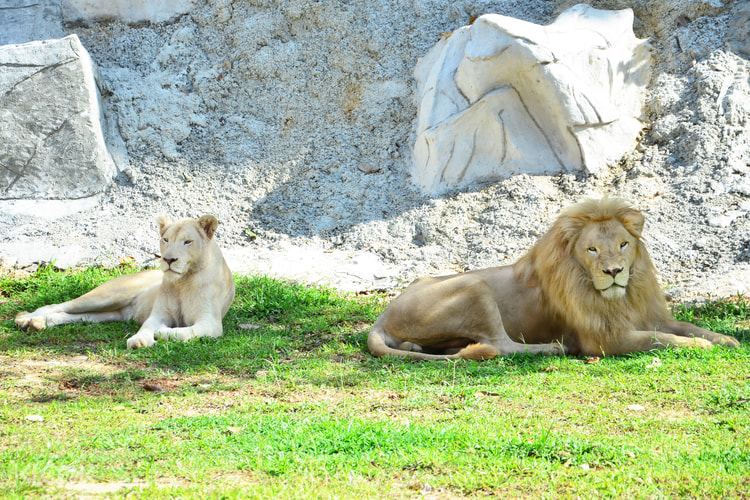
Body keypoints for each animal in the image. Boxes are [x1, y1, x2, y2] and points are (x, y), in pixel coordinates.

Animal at [16, 213, 236, 350]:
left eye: (187, 241)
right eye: (165, 239)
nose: (168, 260)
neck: (183, 281)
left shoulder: (211, 322)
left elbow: (186, 332)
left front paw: (163, 333)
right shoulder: (158, 314)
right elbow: (147, 327)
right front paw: (139, 340)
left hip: (108, 314)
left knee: (72, 316)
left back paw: (36, 323)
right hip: (106, 297)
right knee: (56, 305)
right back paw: (25, 319)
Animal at [370, 198, 740, 360]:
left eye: (623, 244)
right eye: (592, 249)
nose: (614, 271)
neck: (624, 296)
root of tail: (382, 317)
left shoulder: (649, 314)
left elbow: (686, 327)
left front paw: (726, 339)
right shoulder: (605, 340)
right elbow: (661, 339)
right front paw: (701, 346)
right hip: (475, 285)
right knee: (500, 345)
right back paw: (555, 347)